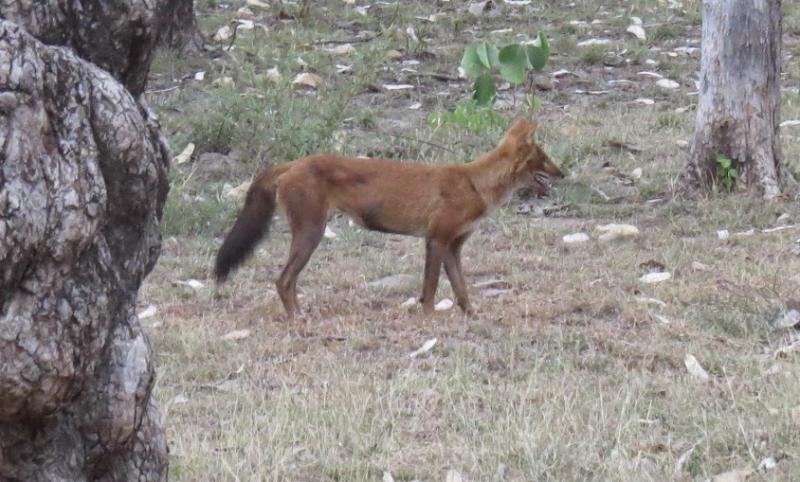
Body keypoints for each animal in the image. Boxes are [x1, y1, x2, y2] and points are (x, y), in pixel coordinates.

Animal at [212, 118, 564, 318]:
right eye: (546, 159)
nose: (564, 173)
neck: (477, 183)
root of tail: (292, 163)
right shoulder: (436, 239)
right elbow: (430, 288)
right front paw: (429, 319)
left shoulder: (454, 245)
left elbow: (461, 288)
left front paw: (472, 315)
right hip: (311, 233)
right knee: (283, 280)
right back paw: (298, 319)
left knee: (287, 280)